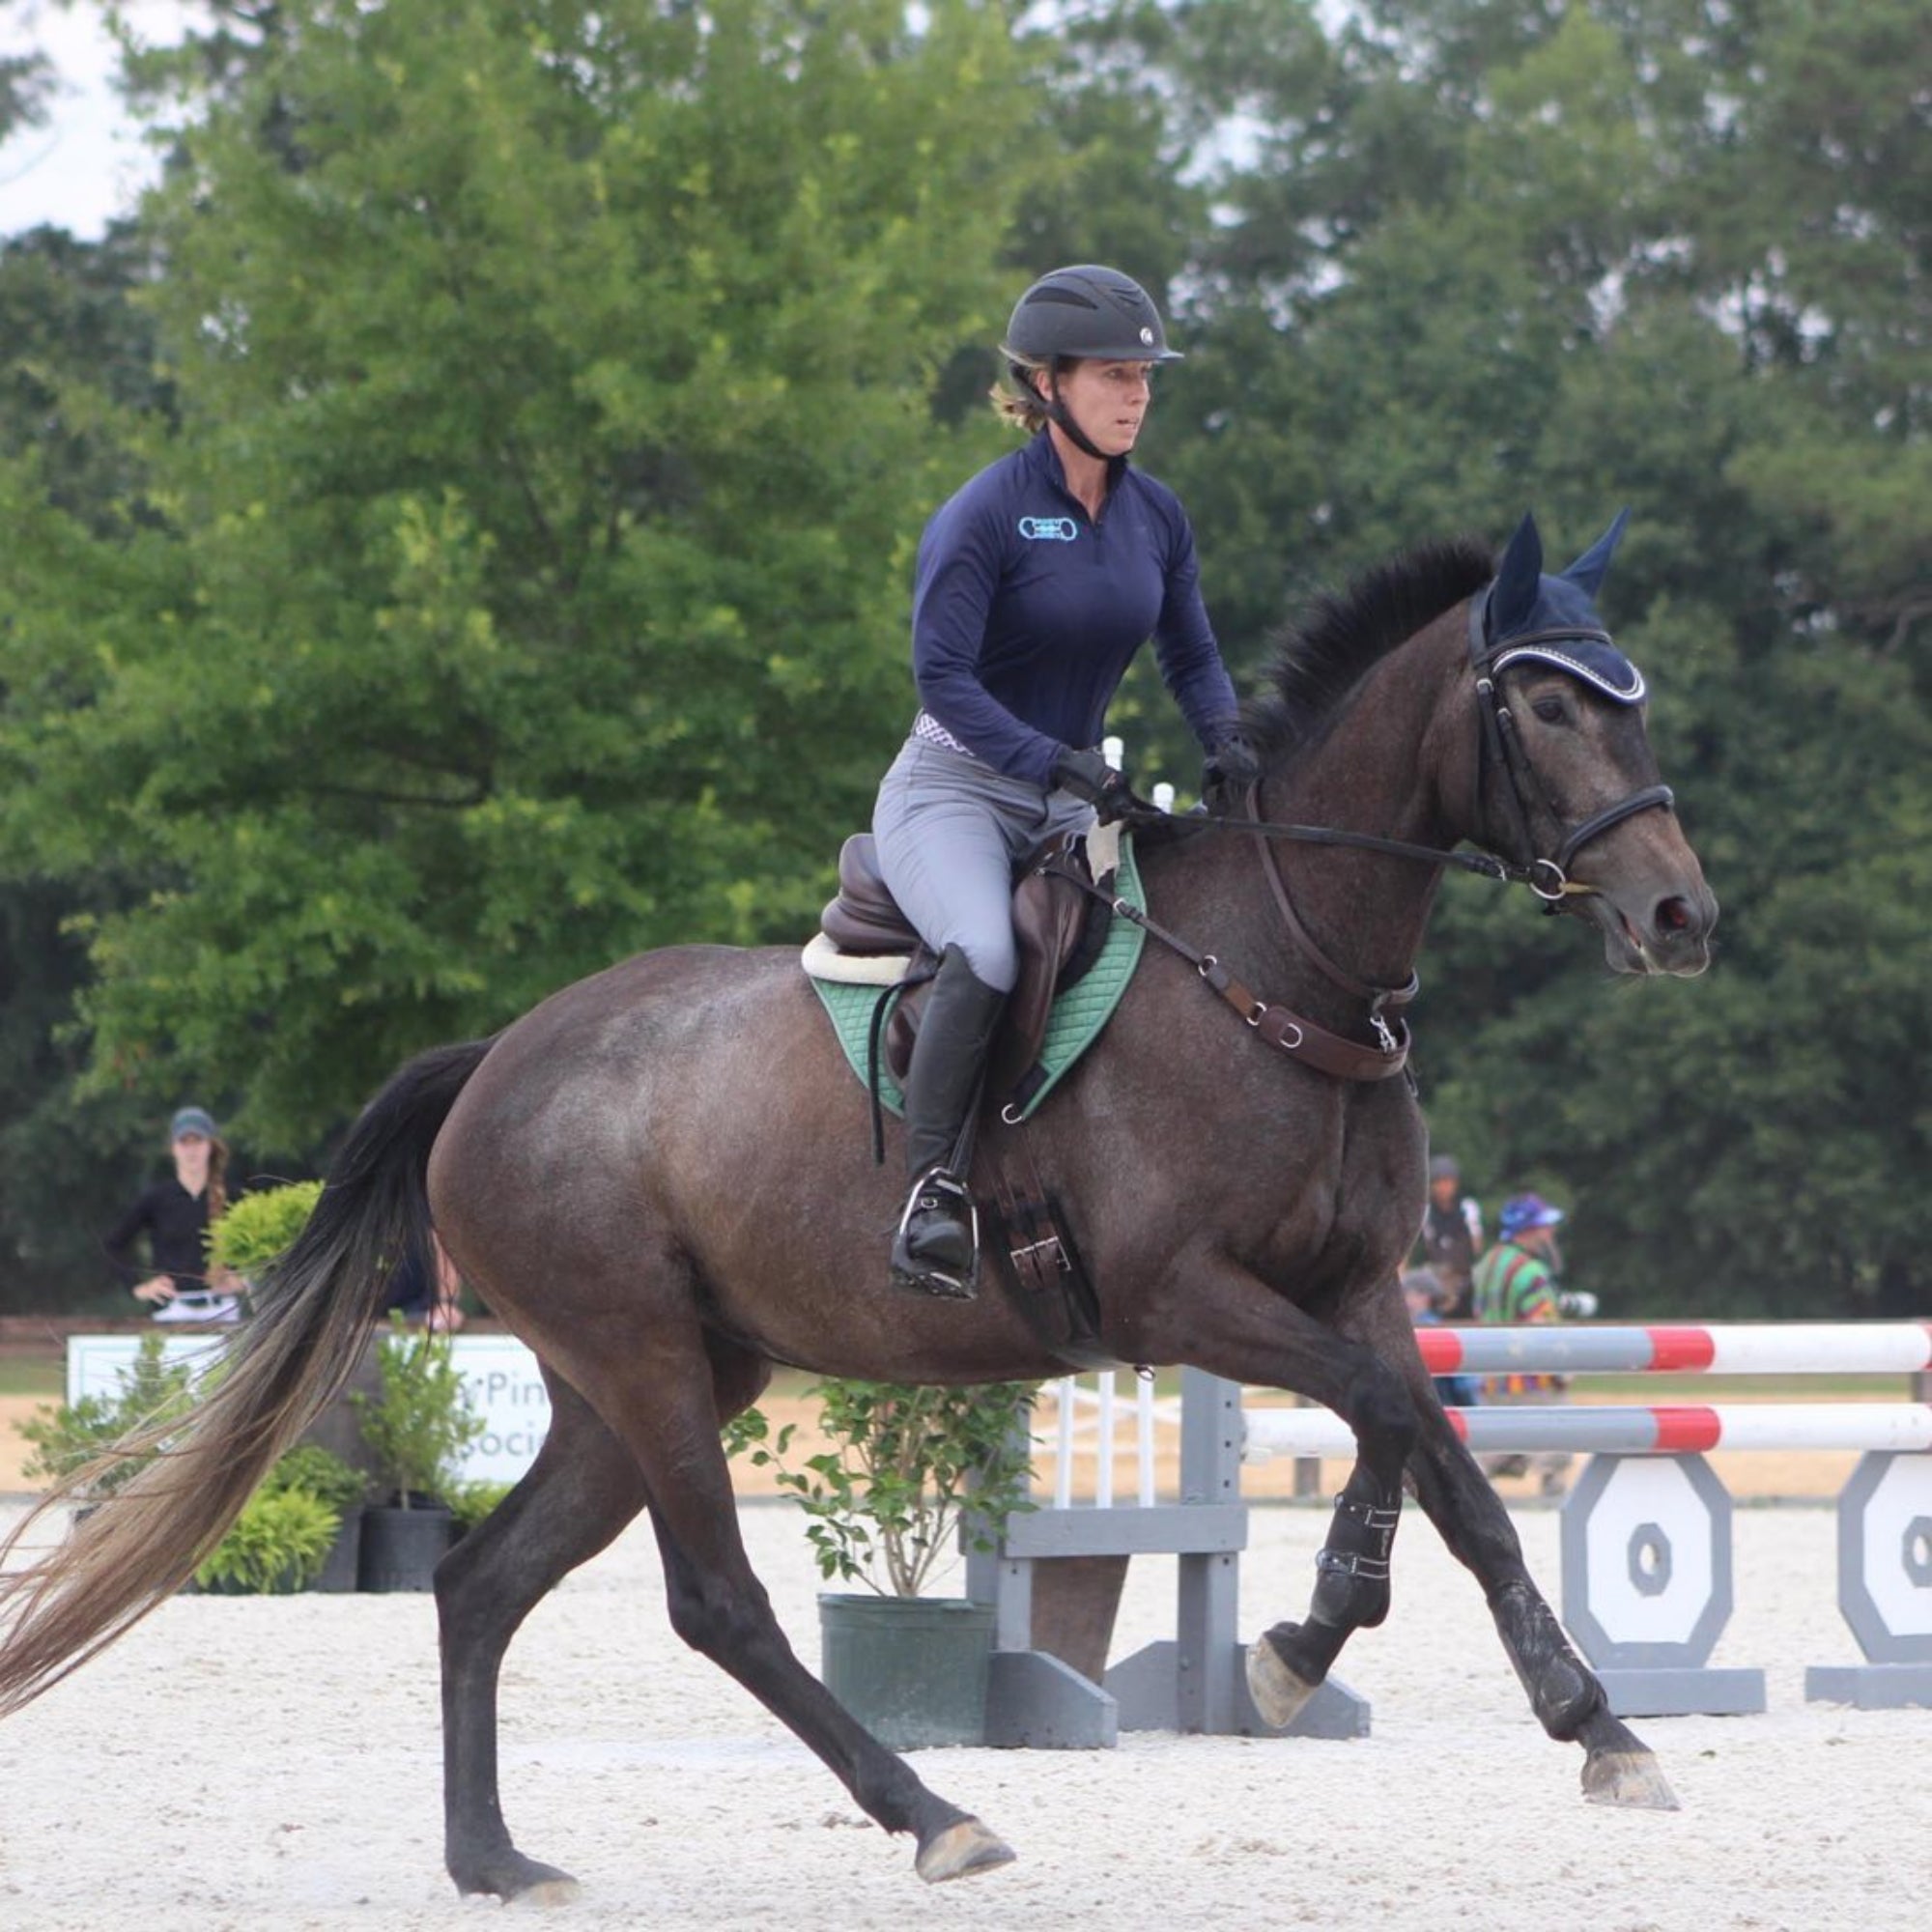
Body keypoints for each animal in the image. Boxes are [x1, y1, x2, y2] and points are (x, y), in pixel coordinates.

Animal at [0, 510, 1716, 1902]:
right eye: (1547, 703)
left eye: (1630, 696)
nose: (1680, 915)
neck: (1279, 966)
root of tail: (498, 1057)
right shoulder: (1185, 1296)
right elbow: (1382, 1415)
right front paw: (1303, 1645)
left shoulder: (1354, 1283)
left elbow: (1446, 1466)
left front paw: (1593, 1726)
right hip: (642, 1359)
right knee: (716, 1600)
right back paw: (933, 1813)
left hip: (654, 1376)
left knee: (482, 1583)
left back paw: (495, 1859)